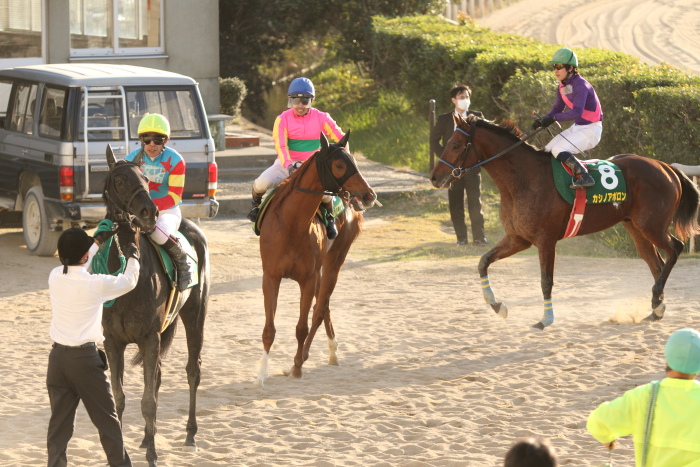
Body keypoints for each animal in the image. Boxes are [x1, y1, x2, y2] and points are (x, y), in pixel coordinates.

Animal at [102, 144, 211, 466]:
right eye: (120, 180)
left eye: (145, 179)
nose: (149, 211)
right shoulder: (113, 341)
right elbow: (119, 399)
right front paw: (121, 451)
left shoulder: (149, 337)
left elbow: (148, 401)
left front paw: (152, 454)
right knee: (159, 376)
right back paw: (145, 437)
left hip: (195, 315)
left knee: (192, 371)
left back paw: (190, 435)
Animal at [256, 133, 378, 388]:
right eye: (340, 165)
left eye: (354, 160)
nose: (369, 195)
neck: (292, 224)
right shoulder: (271, 277)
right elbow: (269, 329)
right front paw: (261, 373)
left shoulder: (308, 279)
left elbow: (302, 327)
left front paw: (297, 367)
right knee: (324, 306)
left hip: (334, 261)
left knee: (320, 309)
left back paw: (309, 357)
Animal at [430, 115, 696, 330]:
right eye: (447, 142)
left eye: (455, 145)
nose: (435, 177)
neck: (523, 178)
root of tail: (666, 167)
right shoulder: (518, 238)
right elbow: (483, 262)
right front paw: (497, 305)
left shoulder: (545, 241)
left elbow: (546, 281)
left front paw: (545, 319)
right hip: (635, 226)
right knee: (655, 262)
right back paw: (656, 308)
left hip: (652, 225)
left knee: (675, 248)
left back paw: (656, 299)